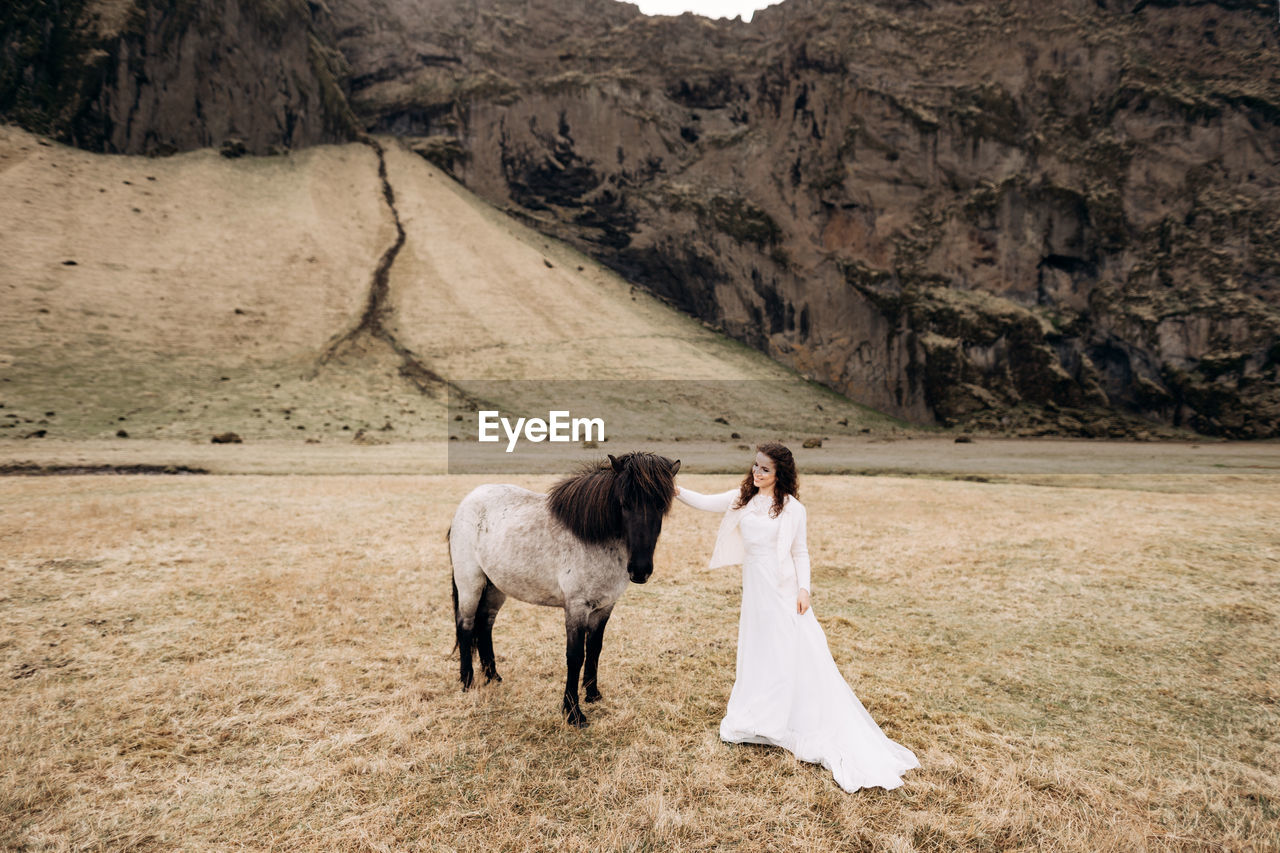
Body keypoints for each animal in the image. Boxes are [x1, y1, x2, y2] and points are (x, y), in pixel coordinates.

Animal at [450, 450, 680, 722]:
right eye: (624, 504)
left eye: (661, 506)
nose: (640, 570)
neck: (596, 539)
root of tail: (468, 501)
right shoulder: (576, 607)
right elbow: (575, 656)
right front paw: (573, 713)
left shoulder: (604, 607)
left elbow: (595, 649)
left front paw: (593, 694)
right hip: (470, 583)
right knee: (465, 626)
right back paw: (467, 682)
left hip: (496, 587)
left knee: (485, 625)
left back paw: (493, 677)